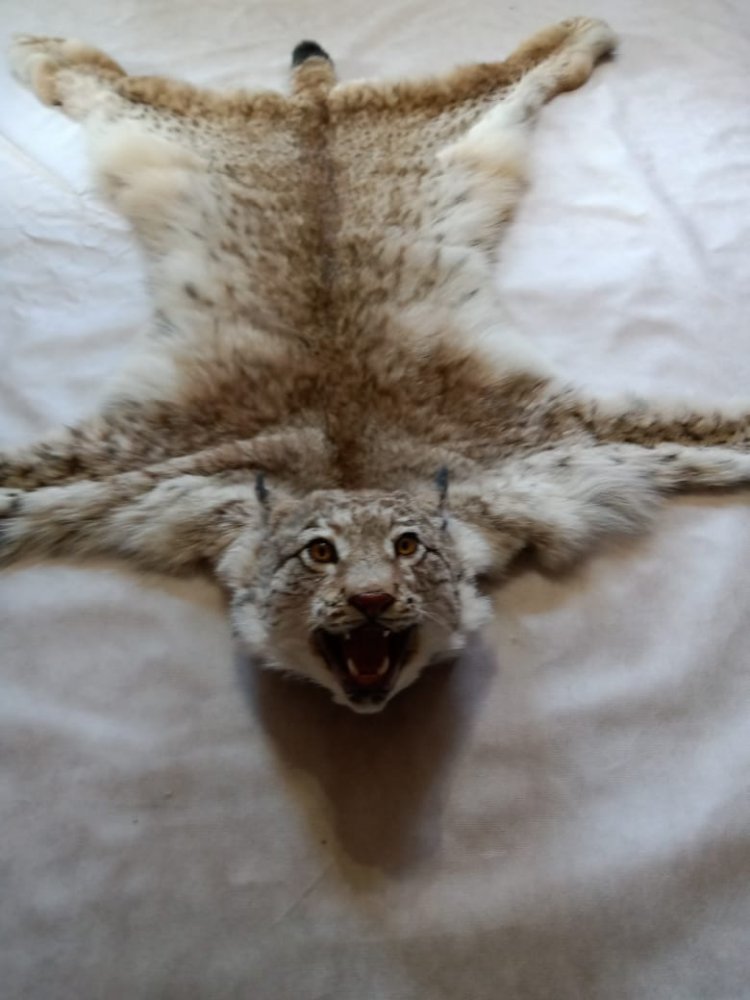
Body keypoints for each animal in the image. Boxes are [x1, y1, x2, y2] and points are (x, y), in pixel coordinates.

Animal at [2, 18, 748, 713]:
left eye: (408, 548)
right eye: (319, 553)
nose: (370, 600)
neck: (350, 469)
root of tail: (316, 109)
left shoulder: (550, 443)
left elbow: (708, 435)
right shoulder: (144, 463)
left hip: (448, 120)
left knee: (509, 72)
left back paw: (577, 34)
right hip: (177, 126)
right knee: (107, 80)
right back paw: (40, 46)